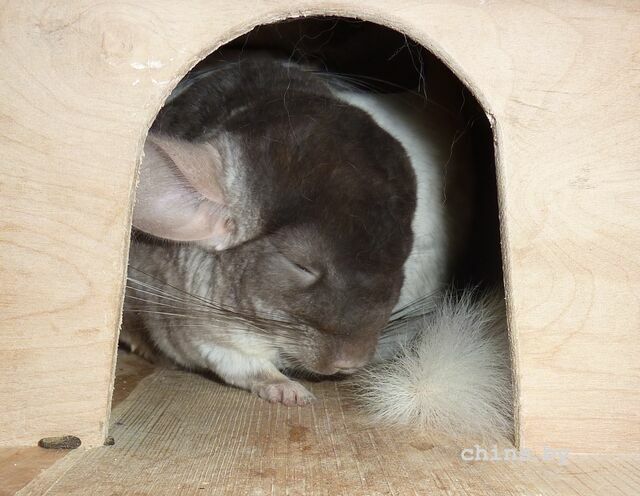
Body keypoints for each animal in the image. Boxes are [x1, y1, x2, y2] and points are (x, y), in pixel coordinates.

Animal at [122, 53, 467, 405]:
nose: (352, 362)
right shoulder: (200, 325)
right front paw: (292, 393)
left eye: (403, 260)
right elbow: (240, 363)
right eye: (300, 265)